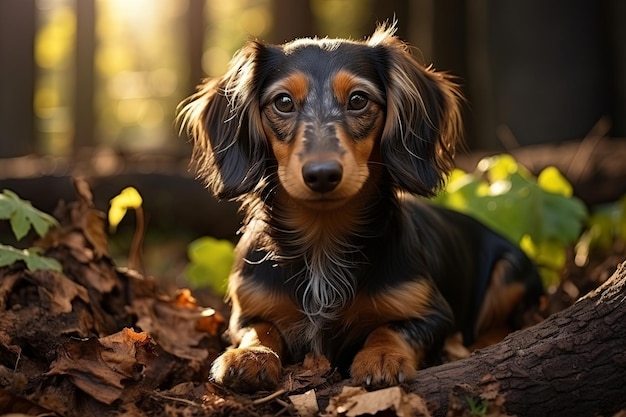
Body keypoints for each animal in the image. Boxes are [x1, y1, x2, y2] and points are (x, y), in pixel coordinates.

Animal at [177, 22, 540, 392]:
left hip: (509, 272)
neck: (322, 240)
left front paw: (381, 357)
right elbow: (260, 329)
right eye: (283, 102)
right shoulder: (247, 310)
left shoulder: (432, 313)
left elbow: (389, 328)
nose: (322, 174)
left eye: (358, 99)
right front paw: (251, 356)